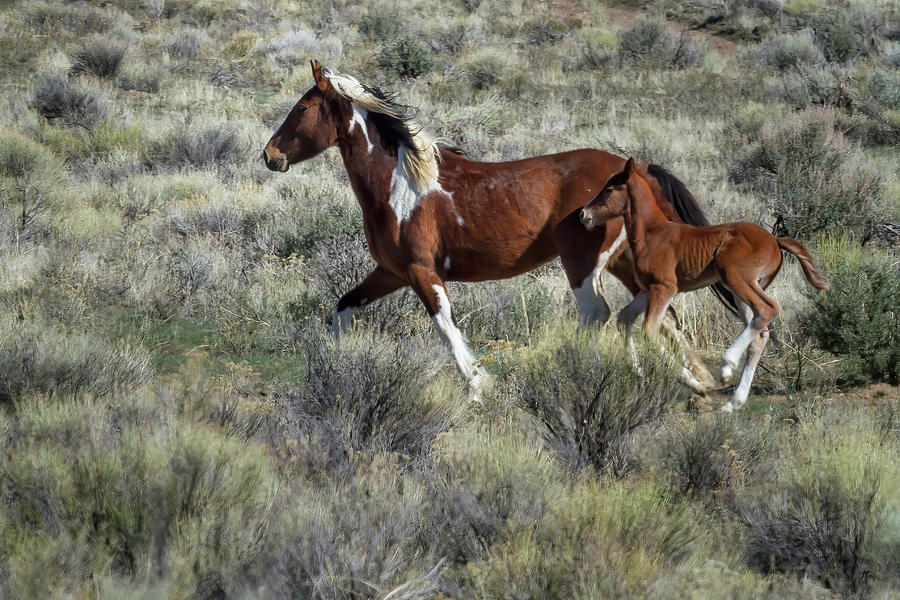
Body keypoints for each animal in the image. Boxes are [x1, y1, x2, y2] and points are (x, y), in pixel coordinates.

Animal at [262, 59, 740, 398]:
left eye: (302, 108)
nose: (269, 155)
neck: (399, 183)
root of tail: (635, 170)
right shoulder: (391, 272)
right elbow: (343, 309)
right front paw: (323, 369)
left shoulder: (421, 272)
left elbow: (445, 325)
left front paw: (478, 385)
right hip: (625, 261)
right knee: (664, 314)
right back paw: (693, 380)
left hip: (583, 264)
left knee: (597, 314)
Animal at [580, 158, 828, 412]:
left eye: (609, 188)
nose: (583, 214)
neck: (653, 233)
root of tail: (776, 241)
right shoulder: (648, 289)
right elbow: (624, 318)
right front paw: (640, 371)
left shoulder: (664, 288)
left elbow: (649, 329)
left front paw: (695, 383)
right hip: (740, 291)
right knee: (759, 330)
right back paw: (734, 402)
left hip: (735, 277)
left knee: (768, 309)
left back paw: (727, 367)